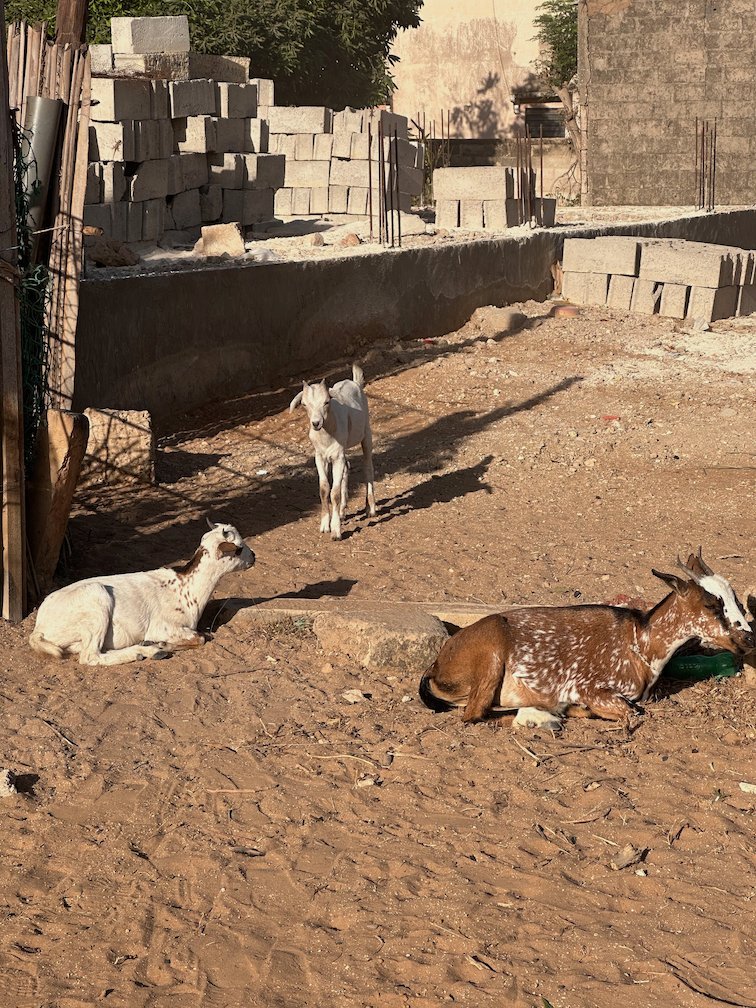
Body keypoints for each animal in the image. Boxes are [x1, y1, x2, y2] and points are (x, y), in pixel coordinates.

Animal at [29, 522, 254, 666]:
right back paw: (148, 651)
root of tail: (39, 628)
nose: (254, 556)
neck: (187, 589)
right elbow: (201, 638)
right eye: (238, 549)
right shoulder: (163, 626)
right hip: (96, 600)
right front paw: (162, 644)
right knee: (90, 657)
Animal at [289, 363, 376, 540]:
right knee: (347, 468)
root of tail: (355, 382)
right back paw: (342, 511)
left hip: (366, 434)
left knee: (367, 467)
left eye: (326, 402)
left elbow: (334, 493)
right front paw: (324, 525)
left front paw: (336, 531)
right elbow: (324, 489)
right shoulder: (320, 457)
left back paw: (370, 508)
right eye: (305, 404)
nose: (316, 423)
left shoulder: (337, 456)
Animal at [420, 550, 755, 730]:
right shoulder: (591, 687)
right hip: (491, 653)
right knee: (473, 715)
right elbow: (632, 712)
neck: (641, 642)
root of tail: (437, 665)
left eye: (736, 599)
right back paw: (541, 717)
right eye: (712, 605)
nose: (749, 639)